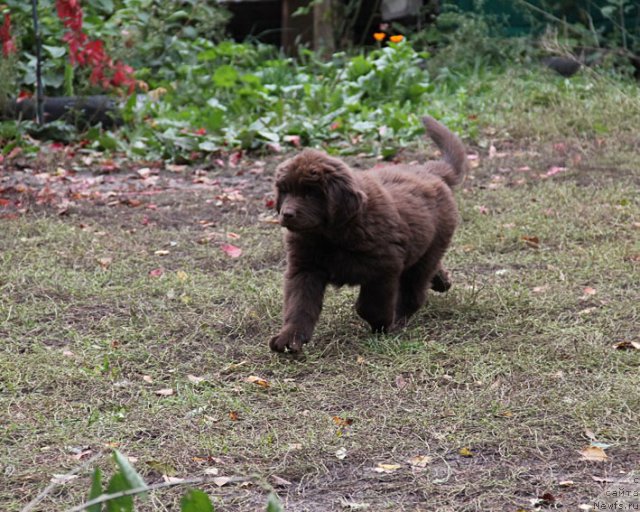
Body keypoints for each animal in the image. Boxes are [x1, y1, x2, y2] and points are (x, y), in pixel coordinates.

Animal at [268, 116, 468, 354]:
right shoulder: (305, 268)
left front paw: (382, 324)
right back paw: (442, 281)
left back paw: (400, 319)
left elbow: (369, 305)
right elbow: (299, 305)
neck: (329, 236)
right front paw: (290, 339)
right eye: (285, 191)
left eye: (309, 194)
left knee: (415, 286)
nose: (286, 214)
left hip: (432, 245)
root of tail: (430, 171)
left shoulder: (384, 266)